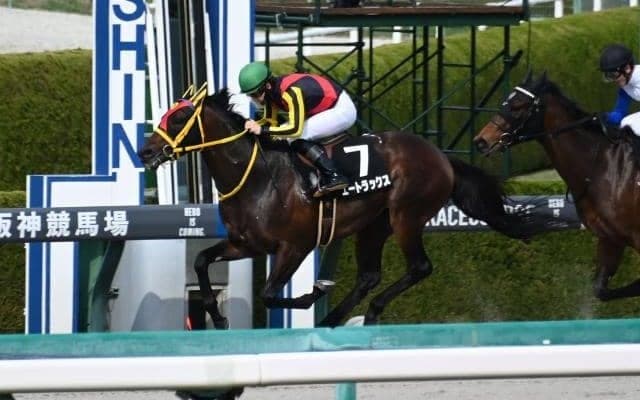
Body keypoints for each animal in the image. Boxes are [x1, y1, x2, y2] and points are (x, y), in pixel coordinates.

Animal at [138, 84, 559, 329]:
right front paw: (216, 313)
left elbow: (270, 294)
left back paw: (366, 313)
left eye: (178, 117)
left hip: (406, 216)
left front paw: (311, 294)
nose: (145, 151)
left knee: (419, 267)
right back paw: (336, 318)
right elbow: (200, 261)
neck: (256, 176)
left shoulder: (295, 246)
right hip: (373, 225)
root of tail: (439, 156)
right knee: (369, 275)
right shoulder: (246, 243)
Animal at [473, 71, 640, 304]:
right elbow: (600, 290)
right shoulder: (611, 238)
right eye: (505, 102)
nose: (481, 141)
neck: (604, 166)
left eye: (518, 106)